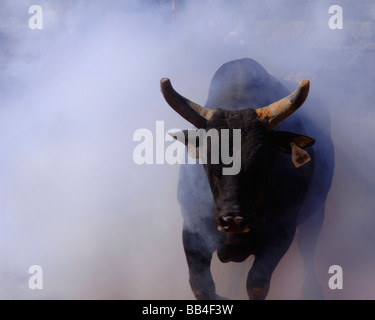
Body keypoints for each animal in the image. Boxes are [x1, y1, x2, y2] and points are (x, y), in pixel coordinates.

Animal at [161, 59, 334, 300]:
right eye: (207, 157)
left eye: (263, 159)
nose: (233, 221)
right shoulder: (192, 231)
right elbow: (201, 285)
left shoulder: (282, 234)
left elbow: (257, 283)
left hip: (318, 211)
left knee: (309, 247)